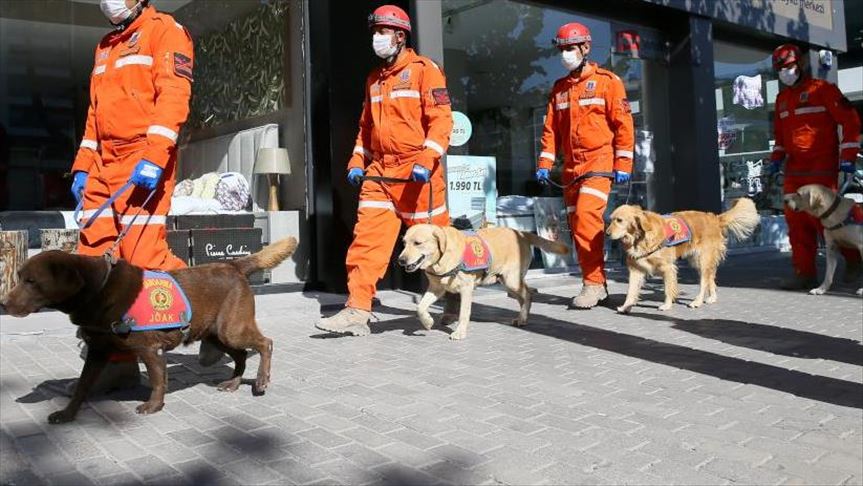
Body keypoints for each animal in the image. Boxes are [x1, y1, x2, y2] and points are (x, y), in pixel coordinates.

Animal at [396, 226, 572, 340]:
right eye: (404, 243)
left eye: (418, 243)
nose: (400, 260)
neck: (441, 258)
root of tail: (521, 233)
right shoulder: (436, 288)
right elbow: (420, 307)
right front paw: (427, 322)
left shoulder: (466, 289)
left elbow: (464, 313)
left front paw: (460, 332)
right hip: (507, 282)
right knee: (524, 297)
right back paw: (522, 318)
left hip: (512, 280)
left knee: (528, 294)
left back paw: (522, 318)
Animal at [604, 199, 760, 314]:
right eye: (610, 220)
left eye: (619, 220)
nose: (606, 233)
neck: (639, 238)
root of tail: (714, 218)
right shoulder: (636, 269)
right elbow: (631, 291)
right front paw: (626, 306)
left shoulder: (667, 268)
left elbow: (668, 289)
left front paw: (666, 305)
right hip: (699, 261)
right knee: (710, 278)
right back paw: (712, 298)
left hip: (703, 260)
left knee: (704, 282)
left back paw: (697, 301)